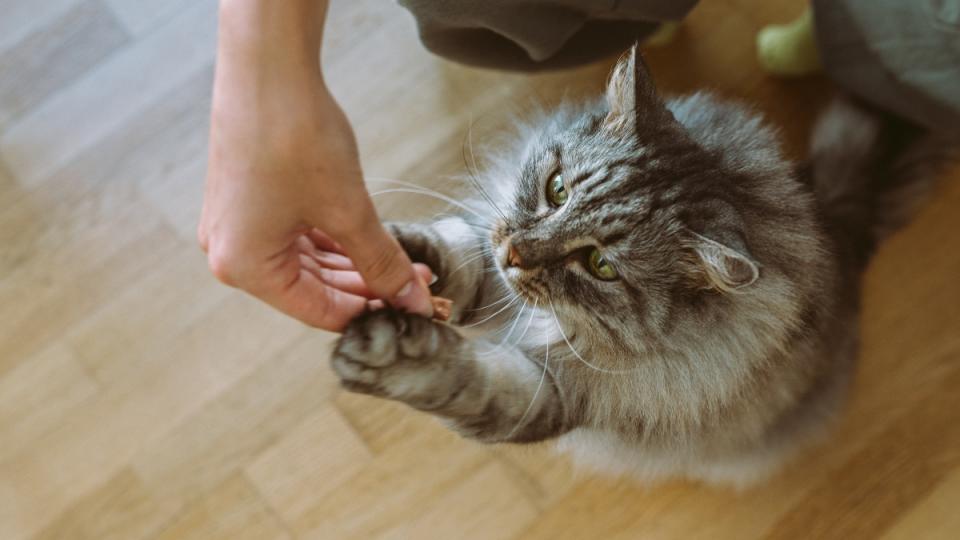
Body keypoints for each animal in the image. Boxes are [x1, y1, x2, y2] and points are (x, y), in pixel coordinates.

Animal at [330, 45, 952, 486]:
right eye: (557, 190)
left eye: (600, 265)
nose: (515, 254)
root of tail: (836, 221)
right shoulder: (488, 260)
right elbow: (452, 256)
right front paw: (387, 255)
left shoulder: (551, 392)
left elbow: (461, 381)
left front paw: (391, 354)